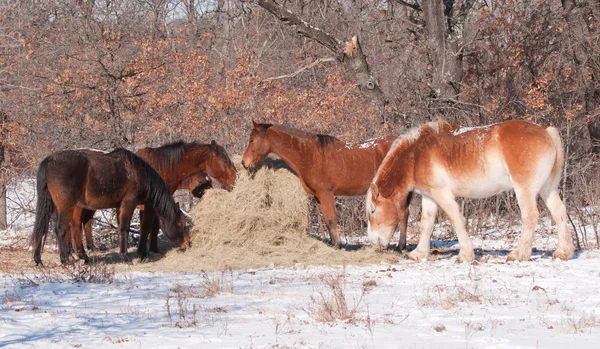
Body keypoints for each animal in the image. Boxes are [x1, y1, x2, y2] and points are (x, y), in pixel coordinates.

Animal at [29, 147, 185, 264]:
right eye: (180, 225)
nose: (186, 244)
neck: (137, 173)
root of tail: (48, 161)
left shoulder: (119, 207)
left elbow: (120, 229)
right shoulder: (128, 204)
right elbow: (124, 229)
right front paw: (125, 257)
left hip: (53, 206)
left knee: (43, 227)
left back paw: (39, 260)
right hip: (67, 207)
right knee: (62, 229)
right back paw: (67, 260)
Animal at [69, 141, 236, 258]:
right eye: (224, 160)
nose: (234, 180)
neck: (159, 167)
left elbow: (155, 227)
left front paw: (153, 249)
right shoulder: (147, 205)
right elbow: (146, 226)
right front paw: (142, 252)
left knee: (85, 222)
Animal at [239, 121, 398, 246]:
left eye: (251, 140)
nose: (244, 162)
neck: (311, 156)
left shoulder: (326, 194)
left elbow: (332, 221)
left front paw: (338, 246)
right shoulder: (318, 197)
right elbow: (327, 222)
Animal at [364, 119, 576, 260]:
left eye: (373, 211)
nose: (374, 241)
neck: (417, 155)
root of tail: (547, 133)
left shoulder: (442, 194)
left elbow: (456, 220)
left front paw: (465, 255)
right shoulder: (430, 196)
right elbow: (427, 224)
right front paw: (419, 253)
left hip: (524, 189)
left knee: (530, 216)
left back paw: (519, 254)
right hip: (547, 189)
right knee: (559, 213)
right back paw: (563, 252)